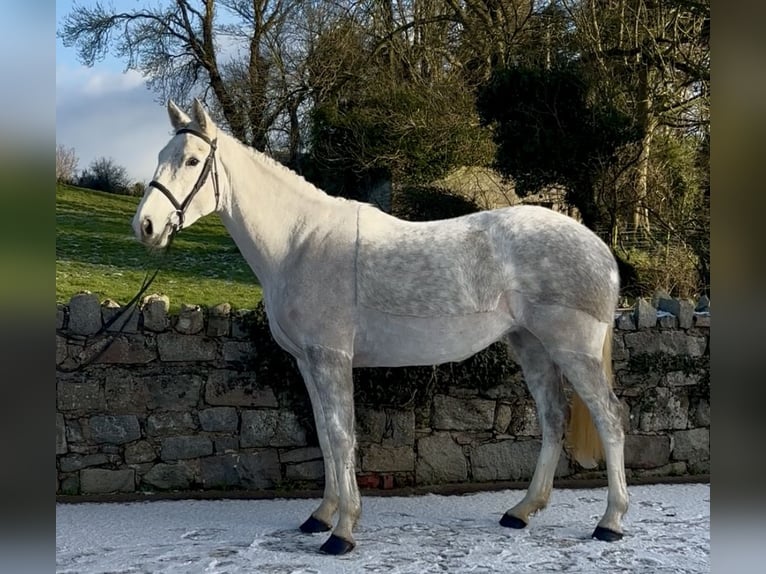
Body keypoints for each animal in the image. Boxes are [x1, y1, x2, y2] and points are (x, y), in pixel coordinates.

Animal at [132, 99, 628, 555]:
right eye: (160, 154)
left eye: (192, 160)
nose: (147, 226)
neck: (298, 242)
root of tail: (599, 248)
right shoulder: (308, 363)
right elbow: (324, 435)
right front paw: (321, 515)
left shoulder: (332, 358)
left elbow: (341, 435)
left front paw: (342, 532)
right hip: (531, 347)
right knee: (553, 418)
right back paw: (521, 511)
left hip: (574, 351)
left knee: (610, 419)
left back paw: (610, 522)